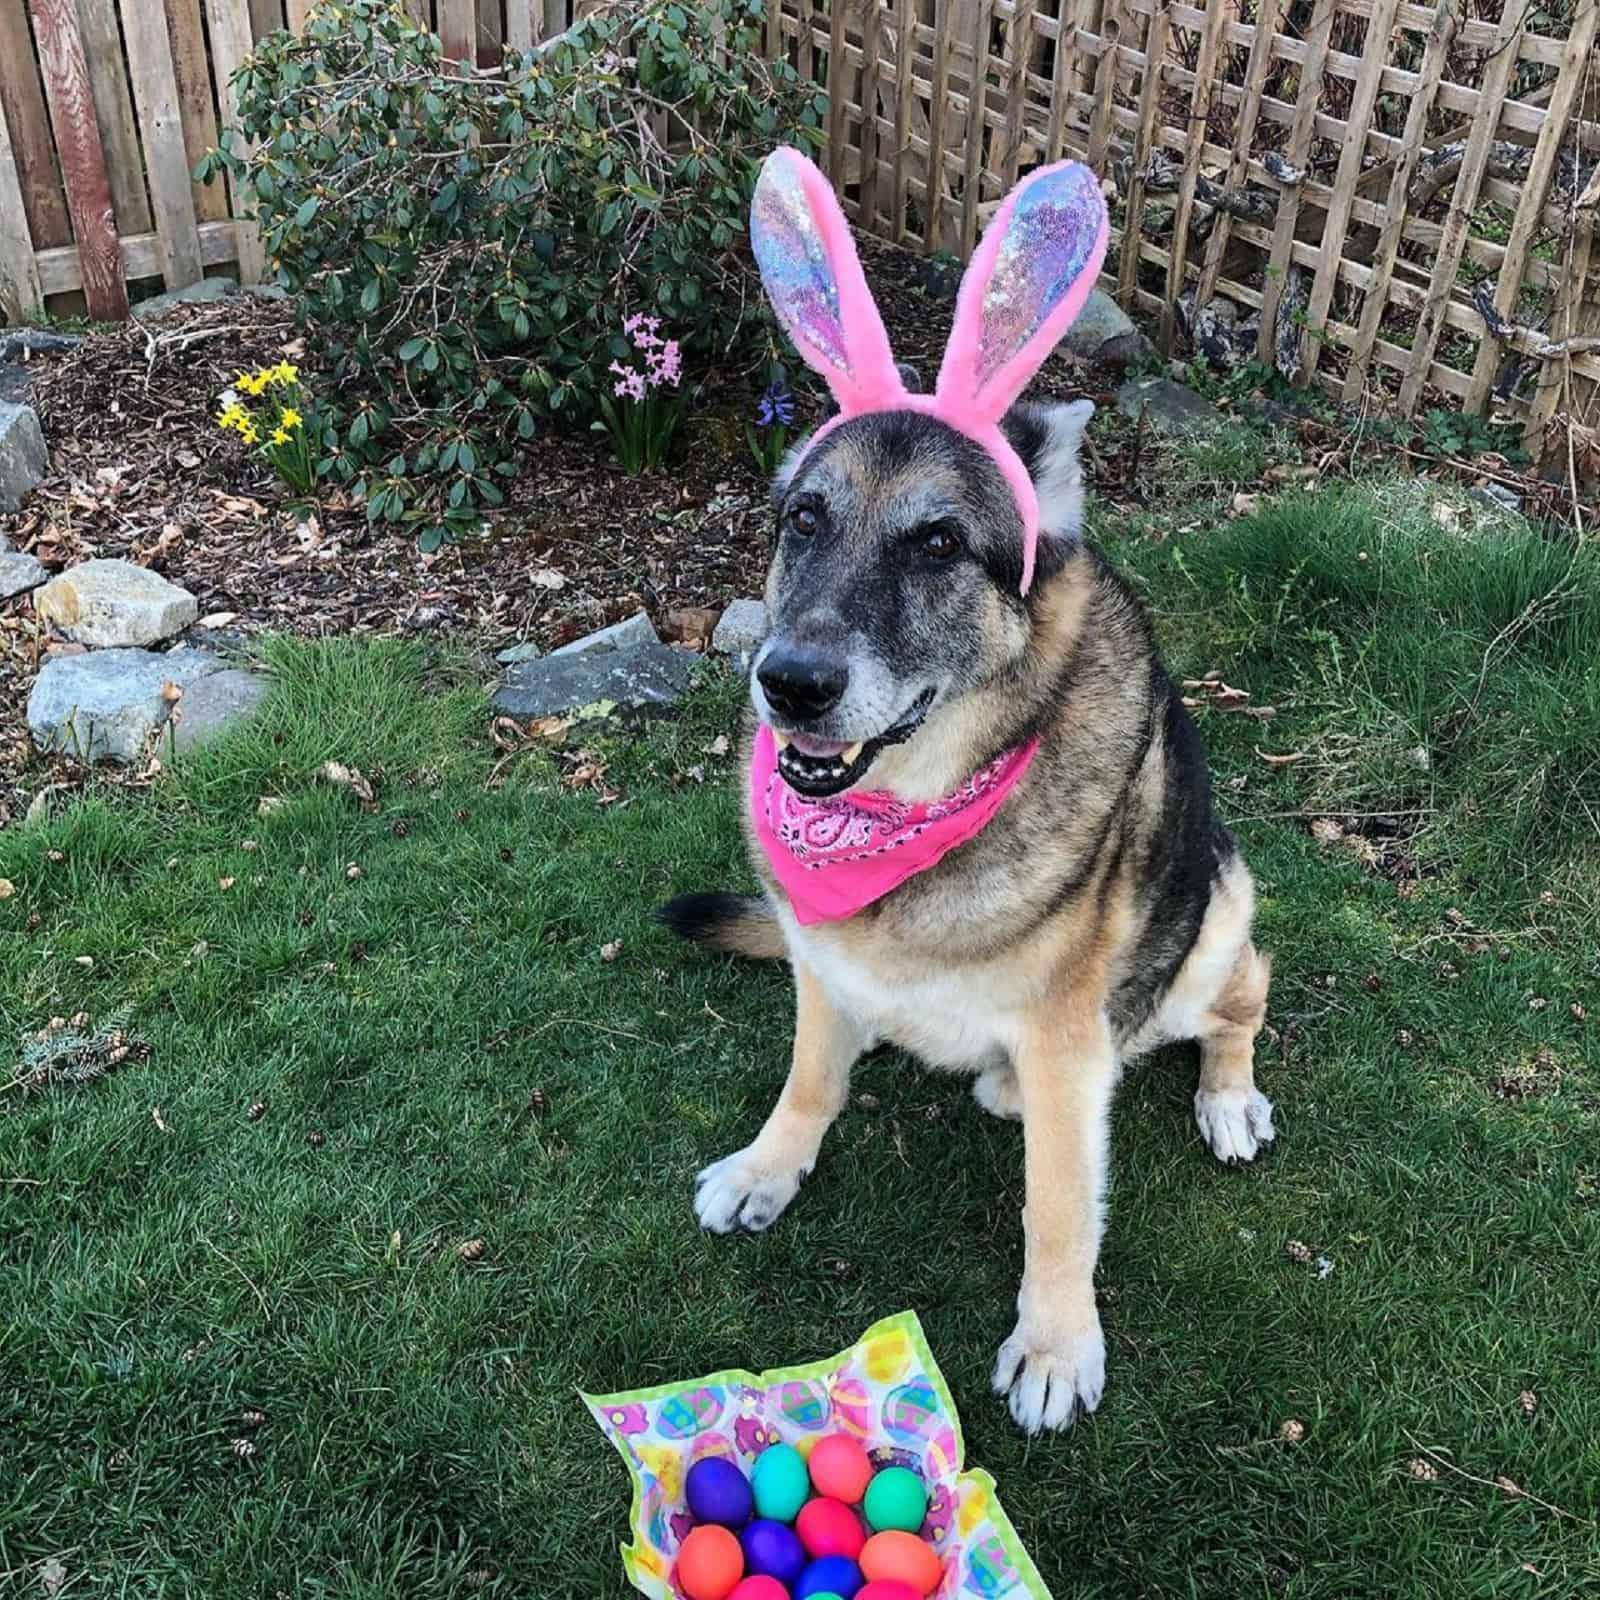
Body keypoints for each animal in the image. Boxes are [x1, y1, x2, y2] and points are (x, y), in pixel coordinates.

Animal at [656, 150, 1267, 1433]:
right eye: (803, 520)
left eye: (937, 543)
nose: (788, 684)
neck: (900, 816)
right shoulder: (823, 969)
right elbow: (808, 1080)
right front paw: (769, 1168)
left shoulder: (1064, 1039)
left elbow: (1058, 1209)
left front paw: (1054, 1344)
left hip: (1217, 912)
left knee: (1239, 1003)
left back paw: (1225, 1095)